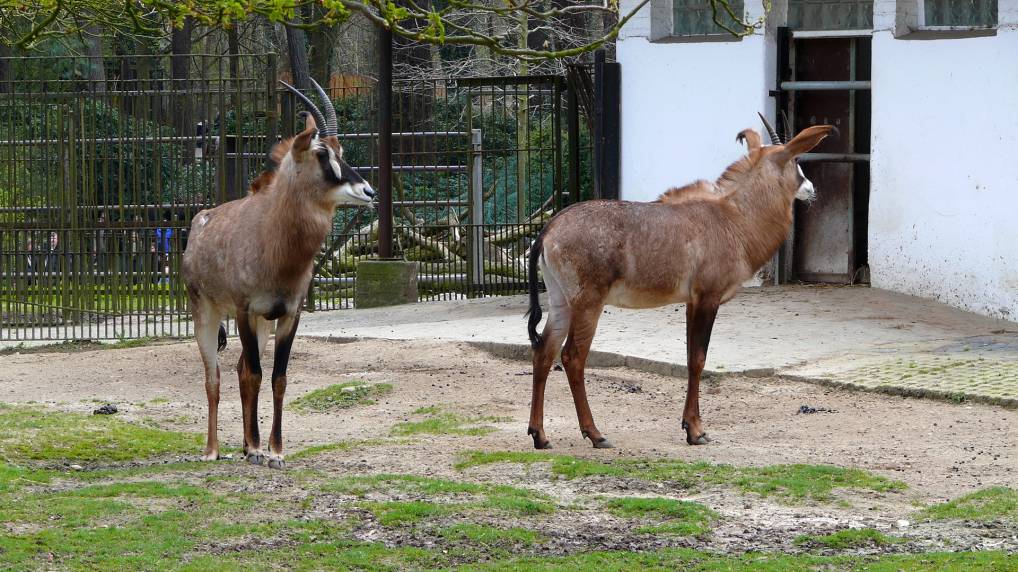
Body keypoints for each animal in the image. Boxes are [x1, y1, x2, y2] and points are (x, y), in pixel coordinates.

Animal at [183, 80, 374, 468]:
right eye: (321, 153)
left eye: (340, 150)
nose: (368, 191)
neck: (273, 238)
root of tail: (199, 223)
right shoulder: (244, 310)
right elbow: (257, 374)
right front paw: (260, 449)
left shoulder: (288, 315)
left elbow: (278, 377)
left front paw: (274, 451)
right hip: (207, 313)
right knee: (215, 377)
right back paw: (213, 450)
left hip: (261, 325)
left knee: (240, 370)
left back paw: (244, 447)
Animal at [525, 119, 834, 449]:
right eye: (795, 161)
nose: (810, 189)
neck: (734, 217)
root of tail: (548, 230)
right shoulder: (708, 298)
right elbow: (699, 359)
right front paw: (696, 431)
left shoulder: (690, 302)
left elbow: (688, 358)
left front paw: (689, 425)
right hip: (588, 303)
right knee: (572, 356)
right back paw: (595, 434)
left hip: (560, 301)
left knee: (544, 351)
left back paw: (540, 435)